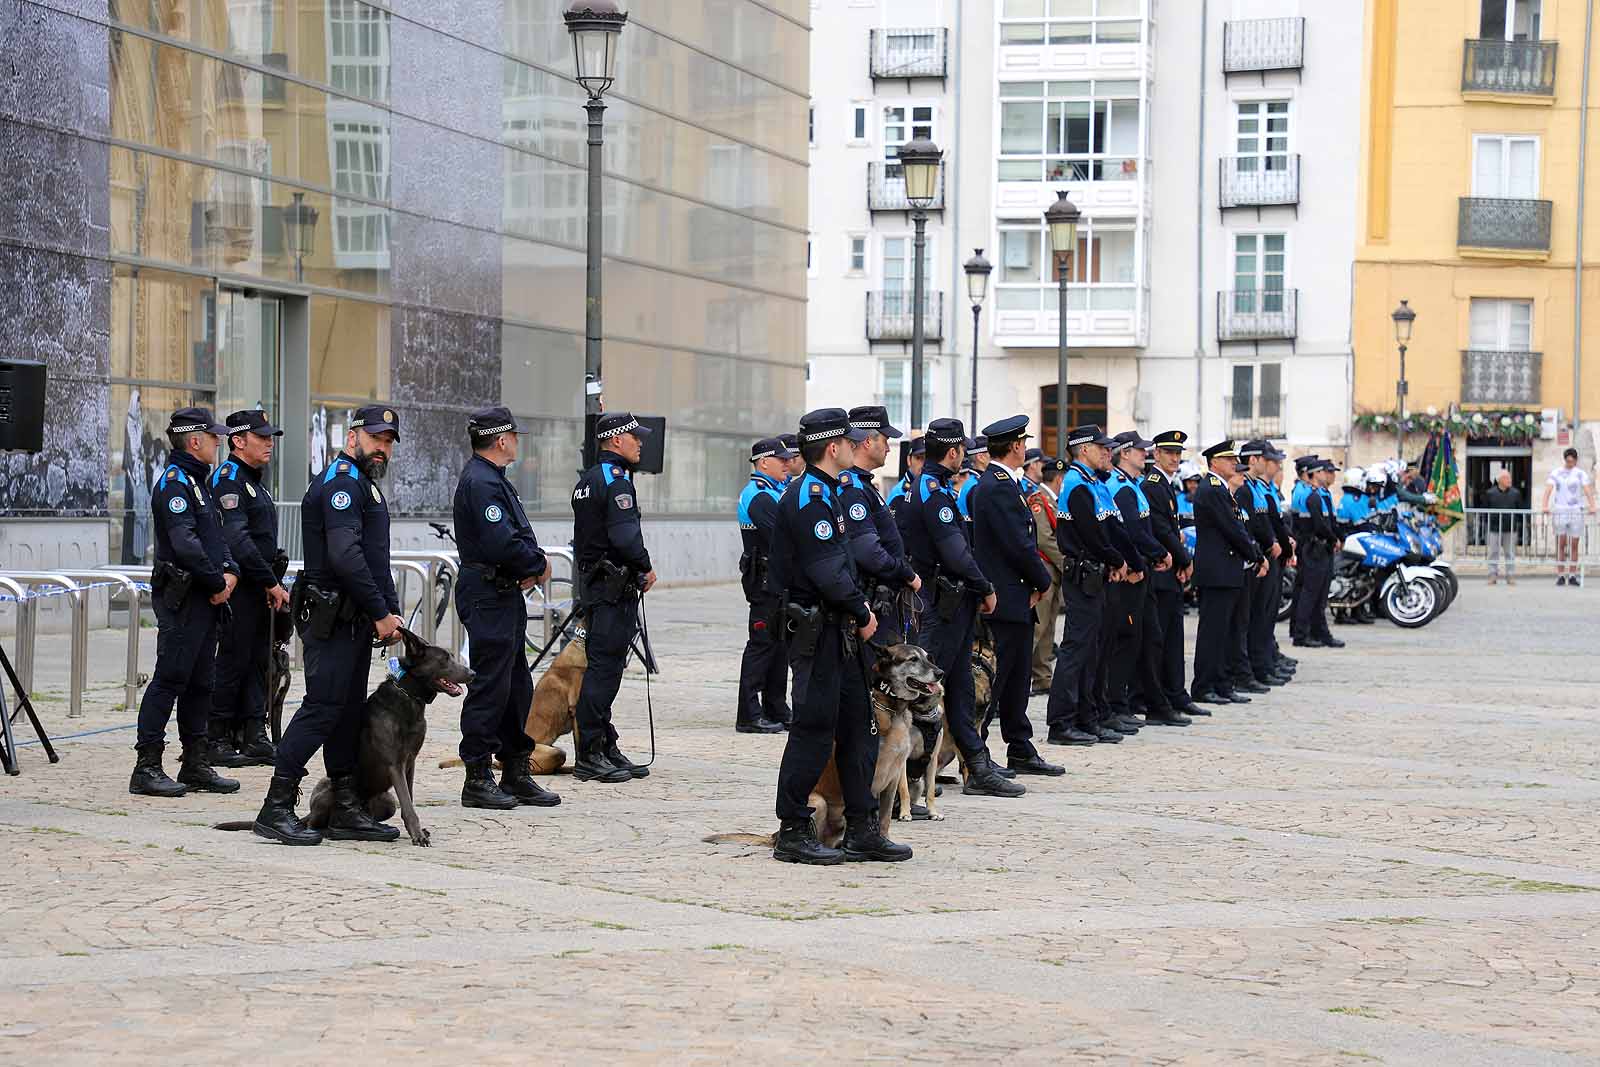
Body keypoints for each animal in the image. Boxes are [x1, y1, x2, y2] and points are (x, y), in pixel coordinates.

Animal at [707, 643, 940, 851]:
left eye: (928, 657)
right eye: (913, 659)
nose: (940, 673)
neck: (894, 711)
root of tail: (774, 836)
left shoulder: (892, 781)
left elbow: (884, 820)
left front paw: (884, 842)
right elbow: (869, 814)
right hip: (817, 802)